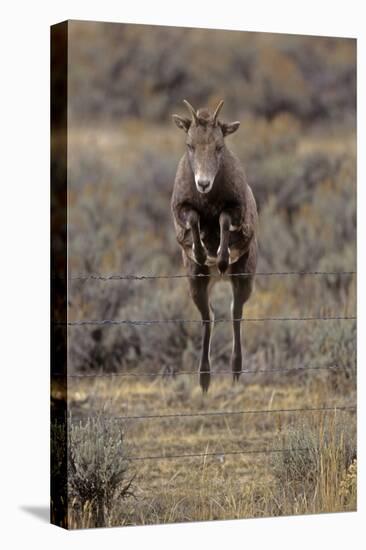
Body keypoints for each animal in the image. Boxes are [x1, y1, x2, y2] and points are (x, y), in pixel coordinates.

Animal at [171, 99, 258, 392]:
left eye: (219, 146)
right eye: (190, 144)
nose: (203, 183)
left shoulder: (234, 211)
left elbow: (222, 219)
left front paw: (220, 257)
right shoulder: (183, 210)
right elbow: (194, 219)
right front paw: (201, 253)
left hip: (243, 277)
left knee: (235, 314)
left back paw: (235, 372)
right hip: (196, 282)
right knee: (208, 316)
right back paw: (204, 379)